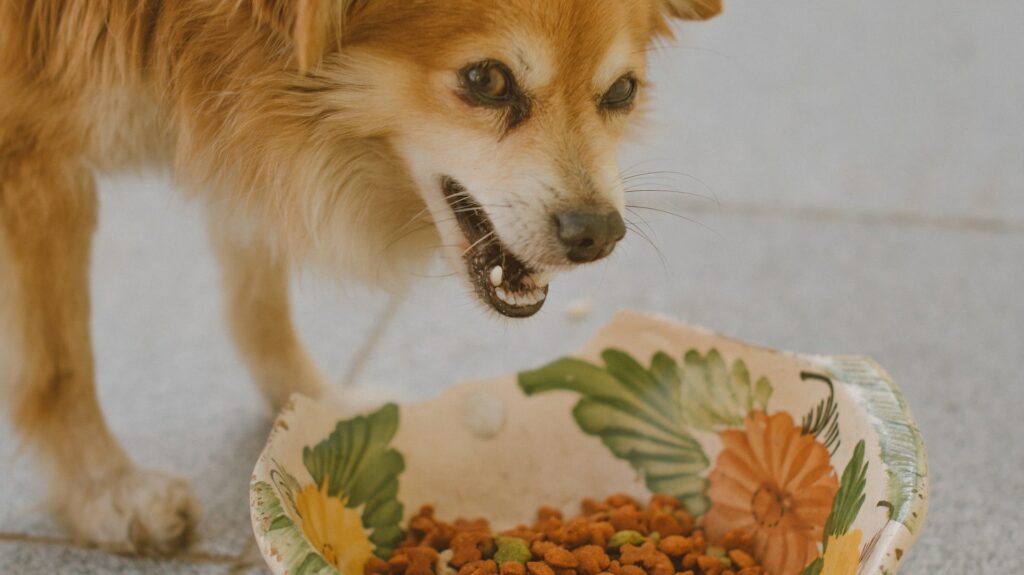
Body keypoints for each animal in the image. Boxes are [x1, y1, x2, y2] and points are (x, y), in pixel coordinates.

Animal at [0, 0, 720, 556]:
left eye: (621, 92)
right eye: (487, 79)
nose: (598, 232)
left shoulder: (239, 129)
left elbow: (258, 291)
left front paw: (313, 405)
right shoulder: (31, 159)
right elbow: (60, 362)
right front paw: (106, 490)